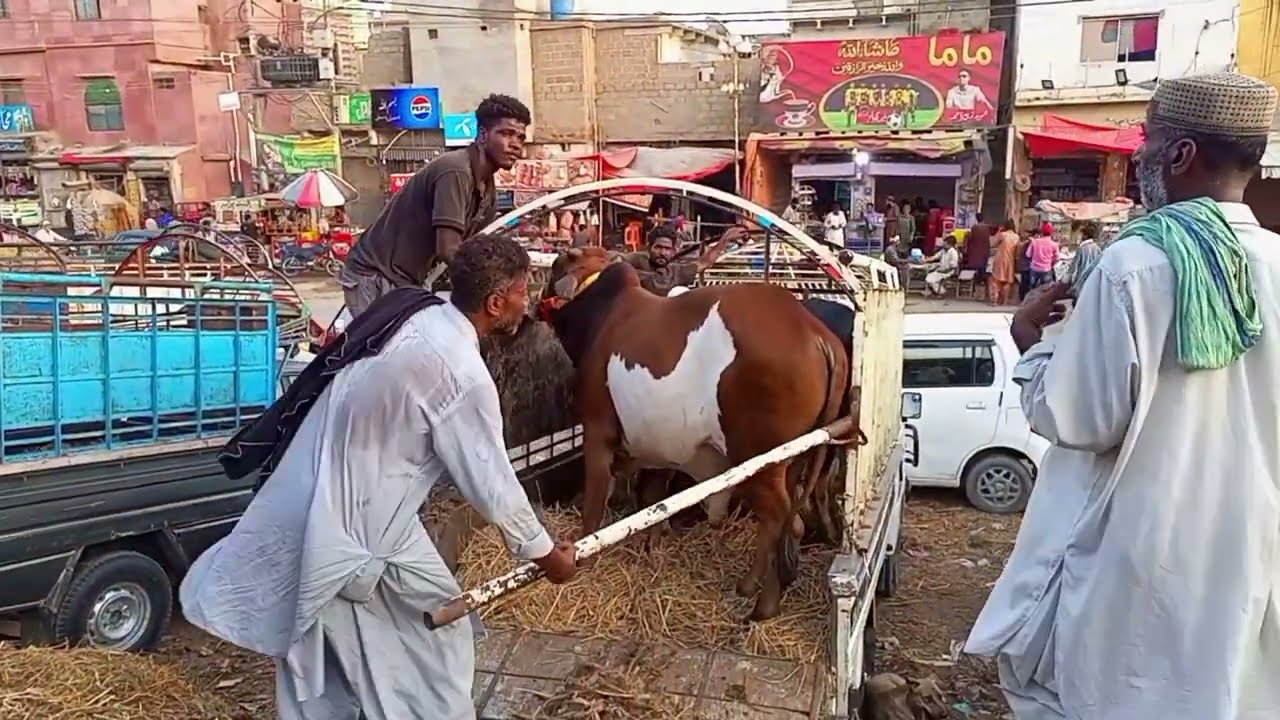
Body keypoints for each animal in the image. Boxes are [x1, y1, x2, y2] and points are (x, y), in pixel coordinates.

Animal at [541, 248, 861, 620]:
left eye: (555, 267)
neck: (604, 314)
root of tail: (814, 332)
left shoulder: (597, 434)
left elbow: (594, 505)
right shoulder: (660, 450)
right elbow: (653, 501)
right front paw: (653, 546)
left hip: (760, 461)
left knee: (782, 521)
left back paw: (763, 606)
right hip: (795, 459)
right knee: (779, 523)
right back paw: (749, 585)